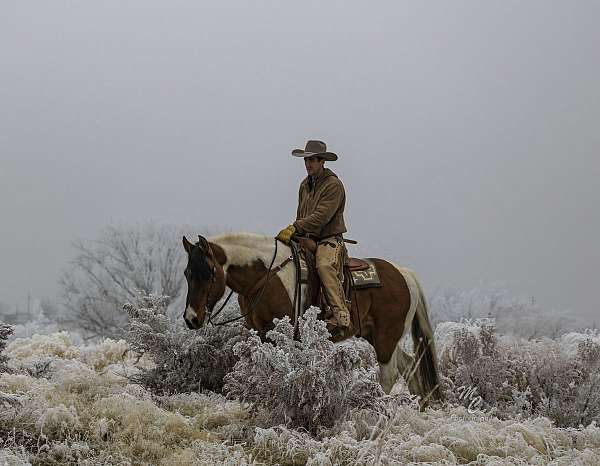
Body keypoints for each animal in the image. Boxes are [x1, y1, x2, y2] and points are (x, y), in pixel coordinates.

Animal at [183, 232, 440, 400]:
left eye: (208, 272)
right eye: (187, 273)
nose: (191, 318)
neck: (266, 275)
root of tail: (404, 273)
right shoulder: (260, 332)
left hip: (387, 337)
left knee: (390, 374)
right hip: (379, 336)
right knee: (410, 367)